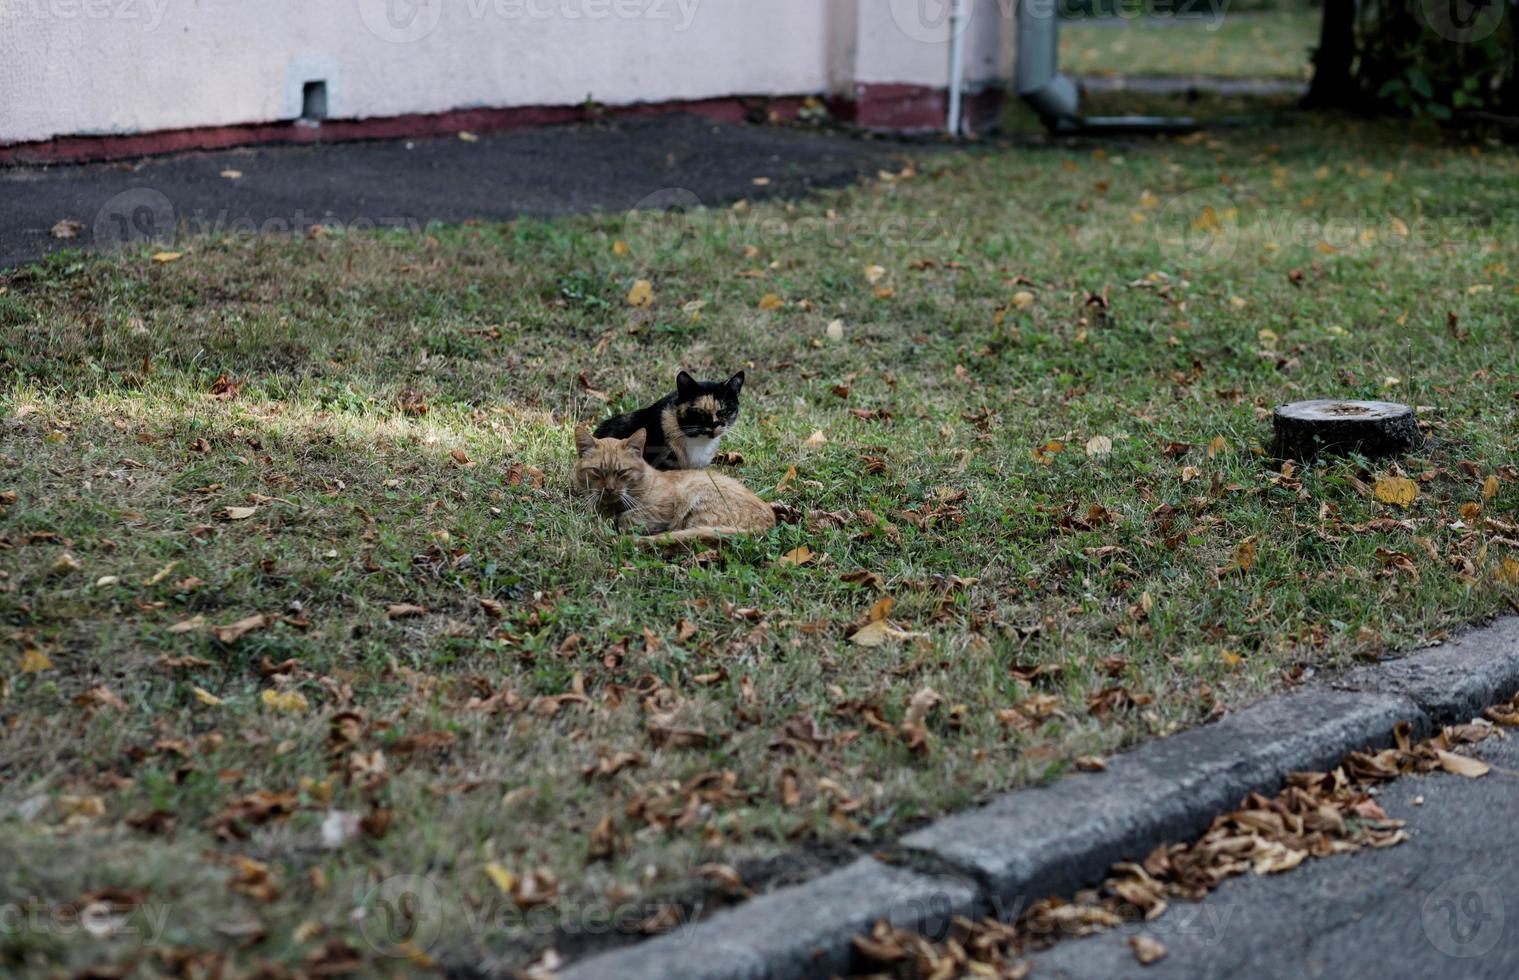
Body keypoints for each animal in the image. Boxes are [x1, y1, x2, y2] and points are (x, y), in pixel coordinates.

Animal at [574, 425, 777, 537]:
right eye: (597, 471)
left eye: (622, 472)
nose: (609, 489)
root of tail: (769, 521)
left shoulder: (664, 507)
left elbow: (628, 517)